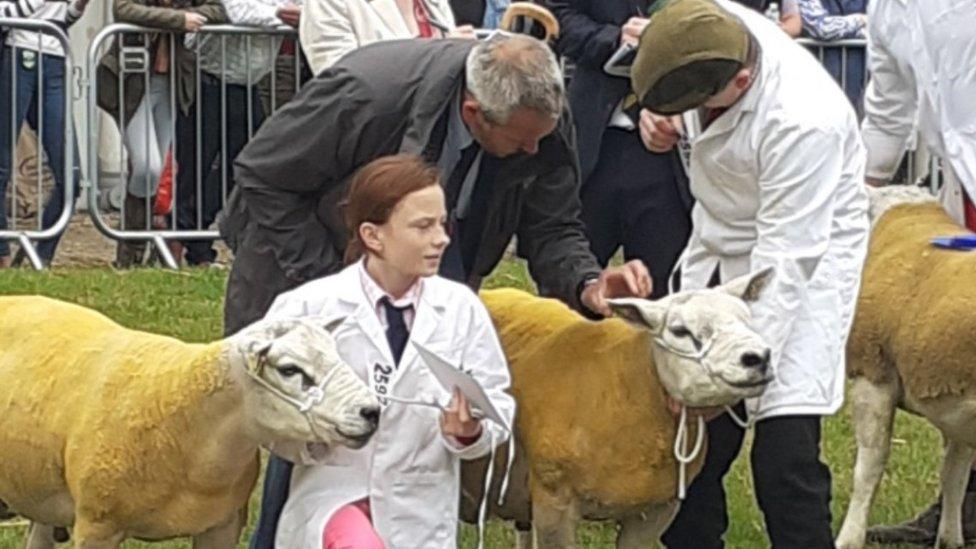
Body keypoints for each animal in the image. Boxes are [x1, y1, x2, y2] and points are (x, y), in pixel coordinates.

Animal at [836, 185, 976, 548]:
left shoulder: (873, 376)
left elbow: (868, 469)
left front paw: (849, 538)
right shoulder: (956, 407)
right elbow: (954, 475)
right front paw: (949, 539)